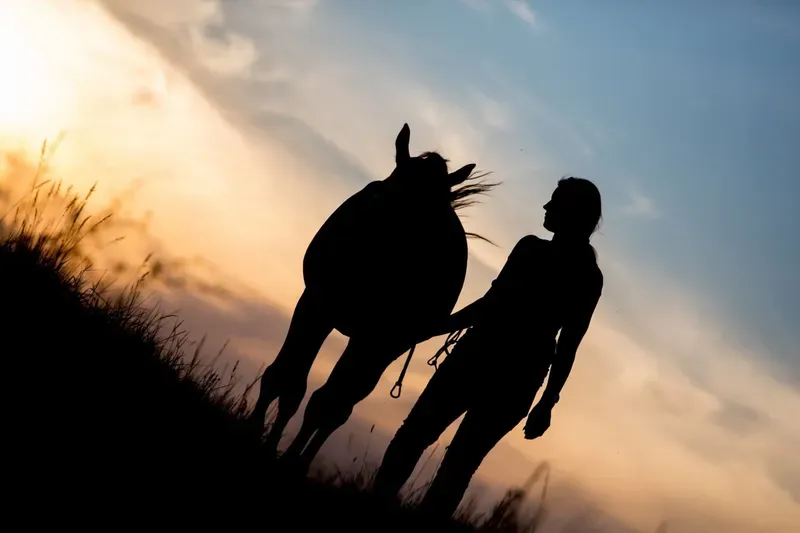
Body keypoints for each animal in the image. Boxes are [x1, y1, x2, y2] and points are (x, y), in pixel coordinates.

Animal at [248, 123, 495, 467]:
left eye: (434, 222)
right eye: (378, 195)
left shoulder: (379, 341)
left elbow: (328, 405)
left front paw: (291, 462)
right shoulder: (316, 305)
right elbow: (286, 378)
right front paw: (256, 438)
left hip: (382, 348)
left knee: (338, 404)